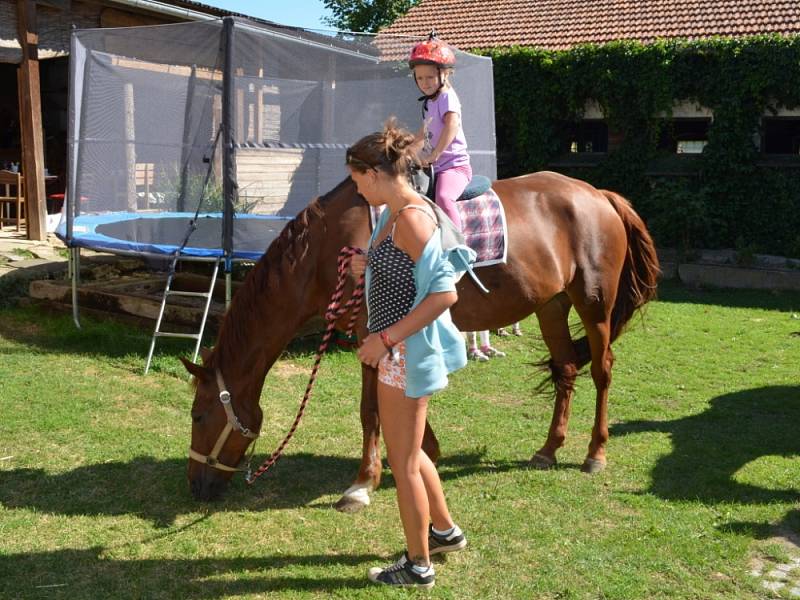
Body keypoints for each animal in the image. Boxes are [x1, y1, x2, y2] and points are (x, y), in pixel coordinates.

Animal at [184, 171, 660, 504]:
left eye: (198, 416)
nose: (196, 486)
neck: (328, 248)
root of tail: (599, 195)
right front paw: (425, 449)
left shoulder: (372, 334)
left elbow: (371, 410)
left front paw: (364, 482)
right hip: (552, 305)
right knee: (565, 367)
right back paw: (548, 448)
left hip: (594, 304)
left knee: (602, 371)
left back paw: (595, 453)